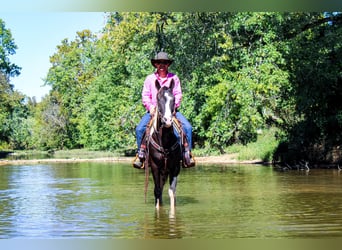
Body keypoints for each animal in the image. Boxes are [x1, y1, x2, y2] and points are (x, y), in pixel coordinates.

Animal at [144, 78, 182, 215]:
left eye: (173, 99)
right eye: (158, 98)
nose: (167, 121)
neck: (165, 142)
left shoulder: (175, 167)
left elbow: (172, 192)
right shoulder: (155, 166)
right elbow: (157, 191)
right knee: (159, 190)